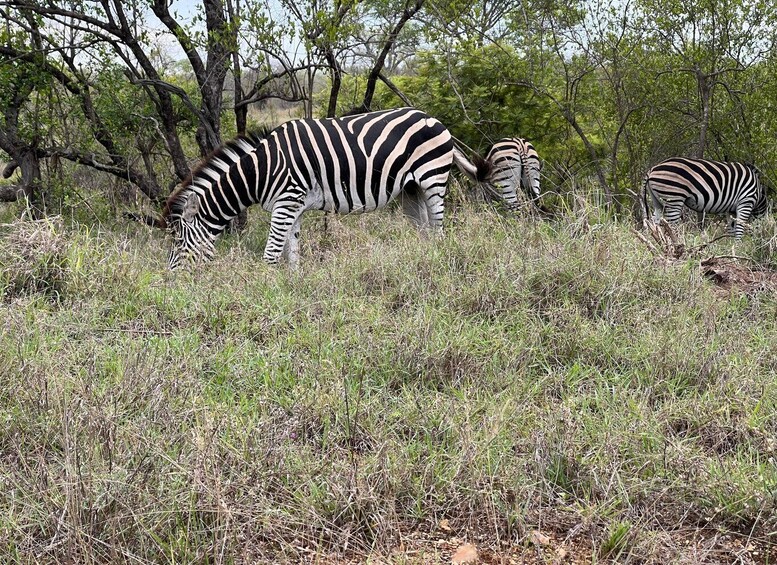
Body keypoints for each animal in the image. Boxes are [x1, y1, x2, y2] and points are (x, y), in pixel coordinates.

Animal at [161, 108, 488, 270]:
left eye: (178, 243)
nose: (172, 279)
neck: (260, 172)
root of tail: (433, 118)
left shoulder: (286, 202)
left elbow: (271, 254)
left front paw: (265, 290)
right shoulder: (292, 205)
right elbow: (291, 252)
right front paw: (292, 287)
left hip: (433, 177)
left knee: (439, 229)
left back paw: (439, 263)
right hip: (411, 189)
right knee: (425, 232)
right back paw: (423, 263)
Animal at [640, 158, 768, 239]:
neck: (759, 194)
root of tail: (652, 169)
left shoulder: (731, 209)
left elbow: (732, 227)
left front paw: (732, 247)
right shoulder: (745, 201)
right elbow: (740, 227)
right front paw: (738, 247)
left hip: (657, 201)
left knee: (655, 223)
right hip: (674, 198)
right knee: (672, 225)